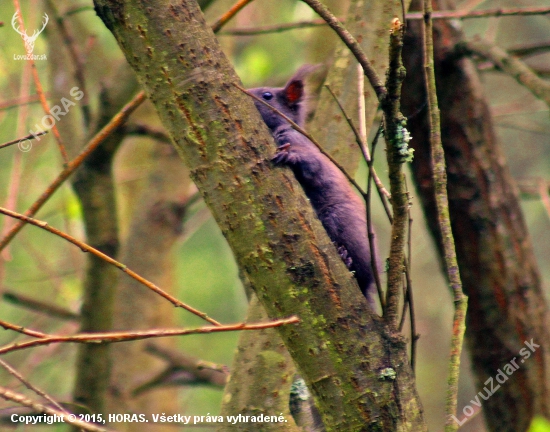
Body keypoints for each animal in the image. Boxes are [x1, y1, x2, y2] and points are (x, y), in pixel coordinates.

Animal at [251, 66, 378, 308]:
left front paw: (289, 156)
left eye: (267, 96)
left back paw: (345, 258)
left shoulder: (299, 143)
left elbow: (312, 165)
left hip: (340, 220)